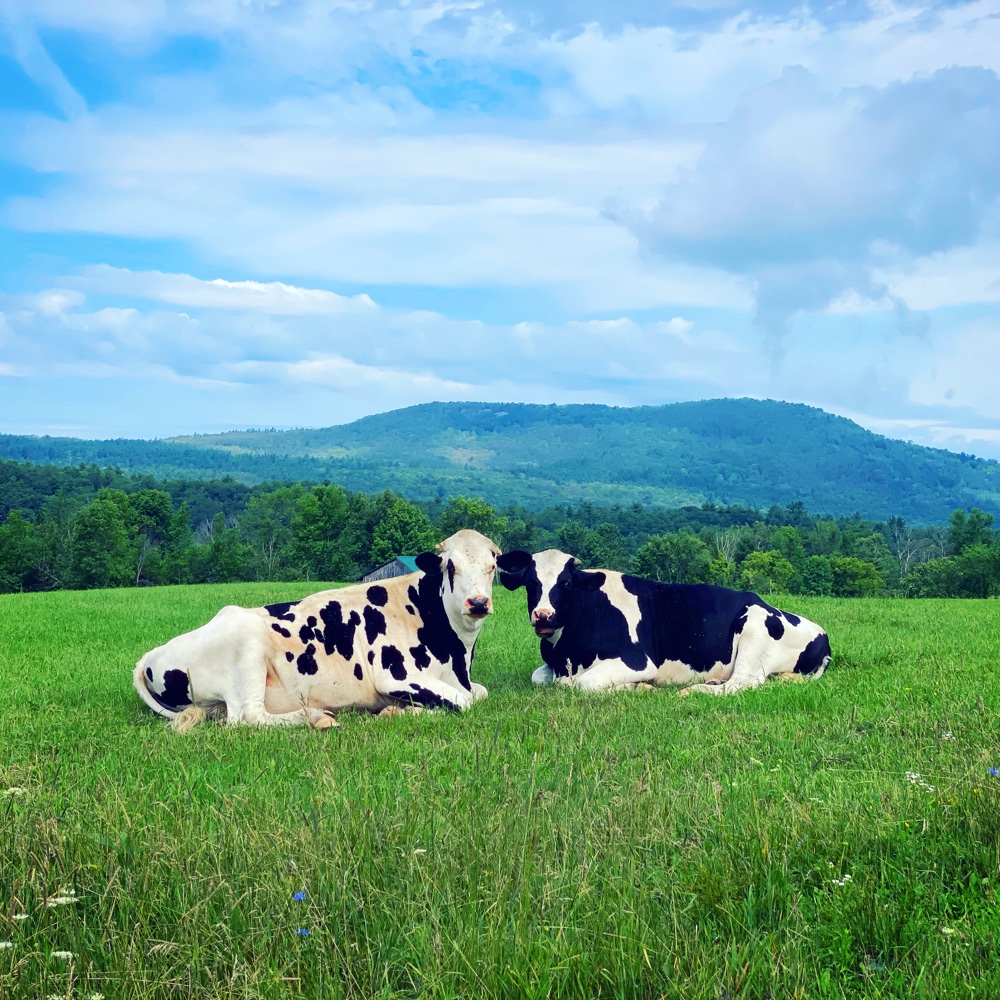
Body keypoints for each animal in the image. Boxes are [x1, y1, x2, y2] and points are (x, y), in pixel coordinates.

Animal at [135, 528, 500, 732]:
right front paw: (397, 712)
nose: (477, 602)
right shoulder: (396, 676)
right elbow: (465, 702)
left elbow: (479, 693)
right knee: (248, 716)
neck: (457, 654)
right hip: (247, 649)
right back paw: (316, 717)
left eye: (492, 565)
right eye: (450, 566)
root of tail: (151, 655)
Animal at [496, 548, 832, 696]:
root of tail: (822, 634)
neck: (567, 654)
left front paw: (639, 688)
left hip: (755, 626)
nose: (543, 616)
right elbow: (539, 677)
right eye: (530, 583)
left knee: (743, 683)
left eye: (565, 583)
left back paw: (696, 691)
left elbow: (584, 683)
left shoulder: (637, 661)